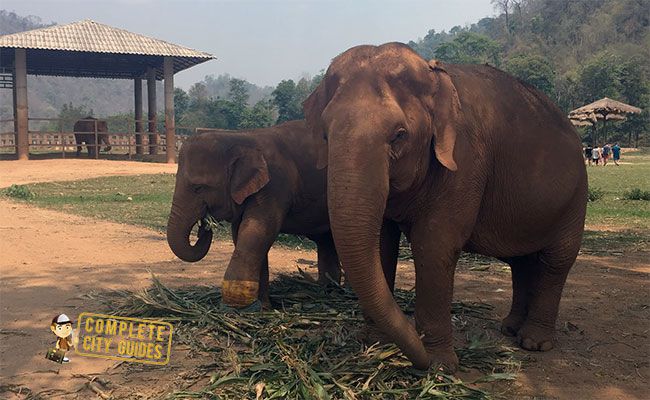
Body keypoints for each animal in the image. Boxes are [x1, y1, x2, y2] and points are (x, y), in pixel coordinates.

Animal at [166, 120, 343, 309]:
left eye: (198, 188)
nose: (204, 228)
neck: (241, 138)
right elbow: (242, 234)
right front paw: (263, 307)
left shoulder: (275, 186)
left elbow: (256, 231)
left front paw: (236, 307)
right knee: (326, 241)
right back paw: (328, 293)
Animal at [303, 43, 587, 371]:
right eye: (325, 135)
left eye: (399, 135)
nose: (418, 356)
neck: (434, 74)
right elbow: (382, 243)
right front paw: (376, 345)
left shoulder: (465, 161)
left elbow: (434, 245)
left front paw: (439, 367)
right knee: (521, 262)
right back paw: (510, 329)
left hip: (576, 197)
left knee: (556, 261)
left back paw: (534, 343)